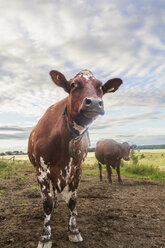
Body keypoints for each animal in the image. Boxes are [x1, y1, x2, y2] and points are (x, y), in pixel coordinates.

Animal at [27, 69, 122, 247]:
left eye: (101, 87)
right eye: (73, 84)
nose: (94, 103)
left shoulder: (77, 170)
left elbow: (72, 201)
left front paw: (74, 230)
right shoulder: (41, 171)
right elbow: (46, 203)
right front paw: (45, 236)